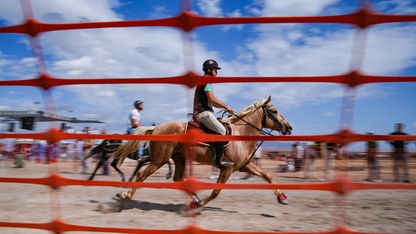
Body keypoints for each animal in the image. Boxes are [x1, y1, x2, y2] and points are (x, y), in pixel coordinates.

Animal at [114, 95, 292, 210]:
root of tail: (156, 128)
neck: (241, 134)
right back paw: (126, 195)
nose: (289, 127)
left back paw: (195, 198)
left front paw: (281, 197)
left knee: (177, 178)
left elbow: (266, 176)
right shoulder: (227, 168)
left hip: (179, 158)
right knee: (141, 175)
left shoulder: (244, 166)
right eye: (274, 111)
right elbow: (215, 192)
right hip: (159, 160)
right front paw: (200, 205)